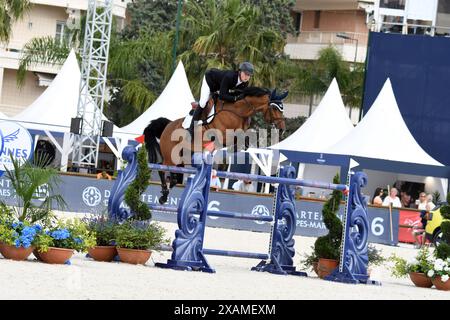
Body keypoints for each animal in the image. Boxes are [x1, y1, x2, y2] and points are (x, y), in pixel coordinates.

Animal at [142, 86, 286, 204]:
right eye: (274, 108)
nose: (282, 128)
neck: (237, 112)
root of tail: (168, 125)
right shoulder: (223, 136)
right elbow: (238, 138)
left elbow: (244, 139)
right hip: (170, 155)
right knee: (162, 168)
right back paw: (163, 196)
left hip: (181, 157)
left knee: (174, 175)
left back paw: (168, 189)